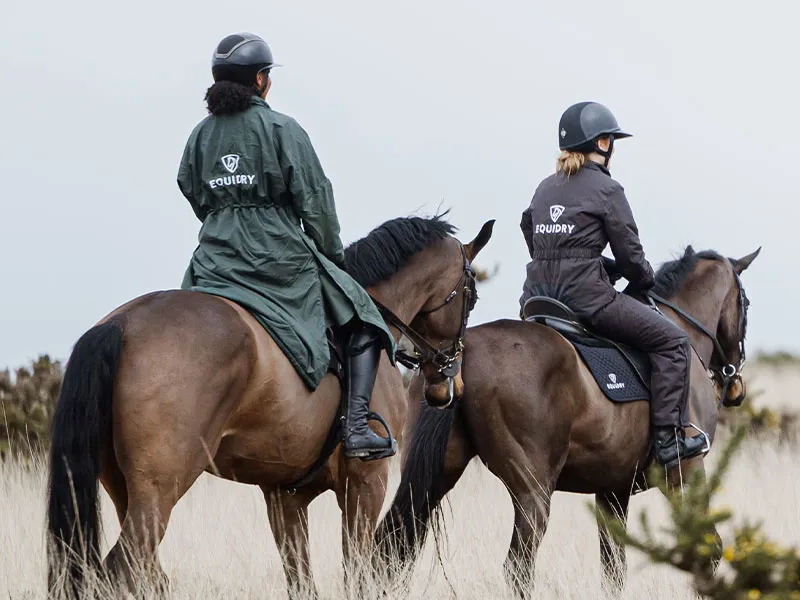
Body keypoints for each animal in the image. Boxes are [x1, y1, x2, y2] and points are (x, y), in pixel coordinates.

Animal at [46, 214, 495, 598]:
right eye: (471, 297)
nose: (450, 382)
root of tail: (120, 324)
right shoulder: (366, 484)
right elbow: (357, 576)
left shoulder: (285, 497)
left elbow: (302, 582)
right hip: (158, 492)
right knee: (118, 571)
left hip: (125, 491)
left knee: (146, 576)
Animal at [376, 245, 760, 598]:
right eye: (746, 303)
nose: (735, 384)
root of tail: (459, 355)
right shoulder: (686, 472)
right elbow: (708, 549)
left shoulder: (613, 491)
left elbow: (613, 569)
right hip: (533, 492)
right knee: (517, 567)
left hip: (435, 475)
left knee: (389, 546)